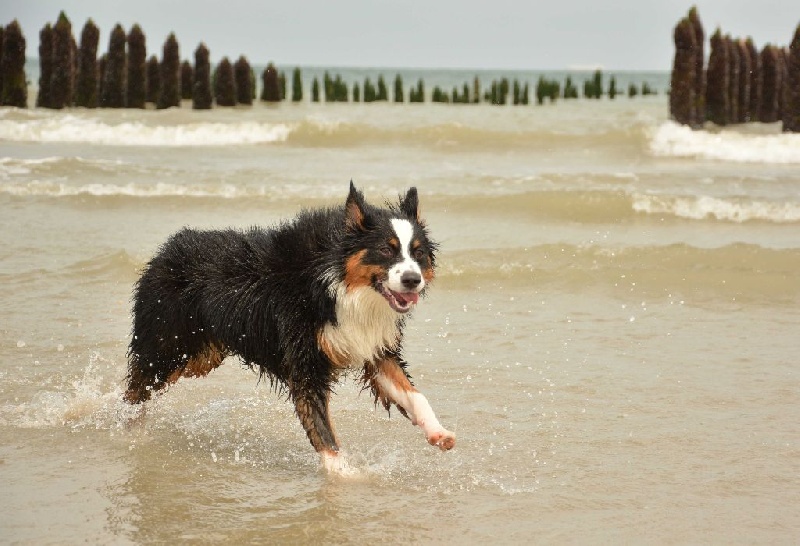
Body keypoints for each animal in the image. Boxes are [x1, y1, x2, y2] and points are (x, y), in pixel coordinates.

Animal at [125, 182, 456, 468]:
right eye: (386, 250)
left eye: (418, 253)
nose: (412, 280)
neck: (338, 285)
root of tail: (165, 250)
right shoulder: (306, 361)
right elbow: (323, 430)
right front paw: (345, 475)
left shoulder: (374, 349)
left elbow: (414, 394)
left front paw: (438, 433)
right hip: (167, 347)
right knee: (136, 390)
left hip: (202, 356)